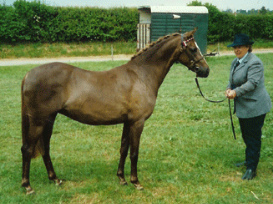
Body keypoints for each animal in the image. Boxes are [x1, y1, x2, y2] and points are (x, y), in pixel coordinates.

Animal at [20, 27, 208, 194]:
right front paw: (136, 182)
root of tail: (28, 74)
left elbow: (123, 149)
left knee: (45, 148)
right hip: (38, 121)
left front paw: (122, 179)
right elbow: (134, 152)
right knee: (27, 149)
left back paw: (55, 179)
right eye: (193, 48)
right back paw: (28, 186)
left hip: (49, 120)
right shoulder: (137, 122)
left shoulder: (127, 121)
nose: (206, 70)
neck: (141, 75)